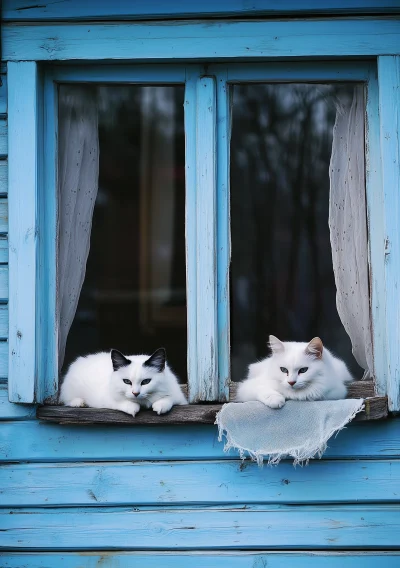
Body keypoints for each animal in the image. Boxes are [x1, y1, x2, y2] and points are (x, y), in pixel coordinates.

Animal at [59, 346, 188, 418]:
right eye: (126, 381)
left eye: (146, 382)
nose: (135, 393)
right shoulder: (105, 399)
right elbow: (123, 403)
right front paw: (133, 408)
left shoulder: (179, 397)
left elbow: (169, 398)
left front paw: (160, 406)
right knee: (67, 400)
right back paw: (79, 403)